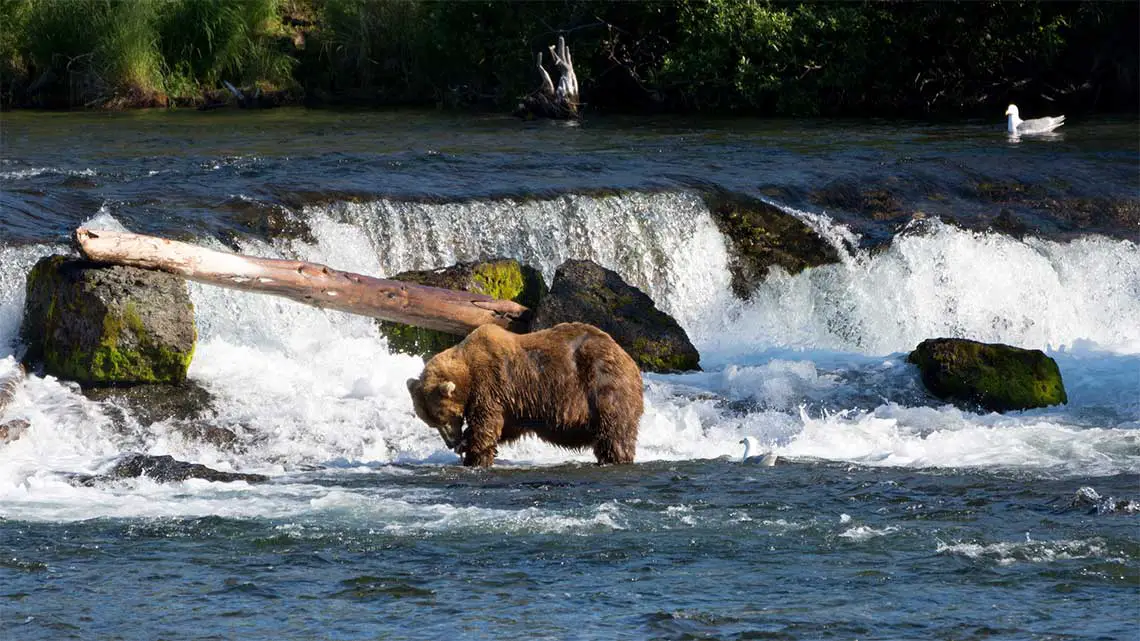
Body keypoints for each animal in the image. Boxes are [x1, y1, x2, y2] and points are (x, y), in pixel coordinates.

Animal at [408, 319, 642, 463]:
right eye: (430, 422)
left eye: (444, 417)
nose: (451, 443)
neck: (467, 372)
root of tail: (627, 356)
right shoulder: (513, 402)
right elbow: (505, 427)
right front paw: (467, 443)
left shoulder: (490, 383)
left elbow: (486, 424)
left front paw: (473, 454)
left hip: (603, 384)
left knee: (613, 433)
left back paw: (615, 457)